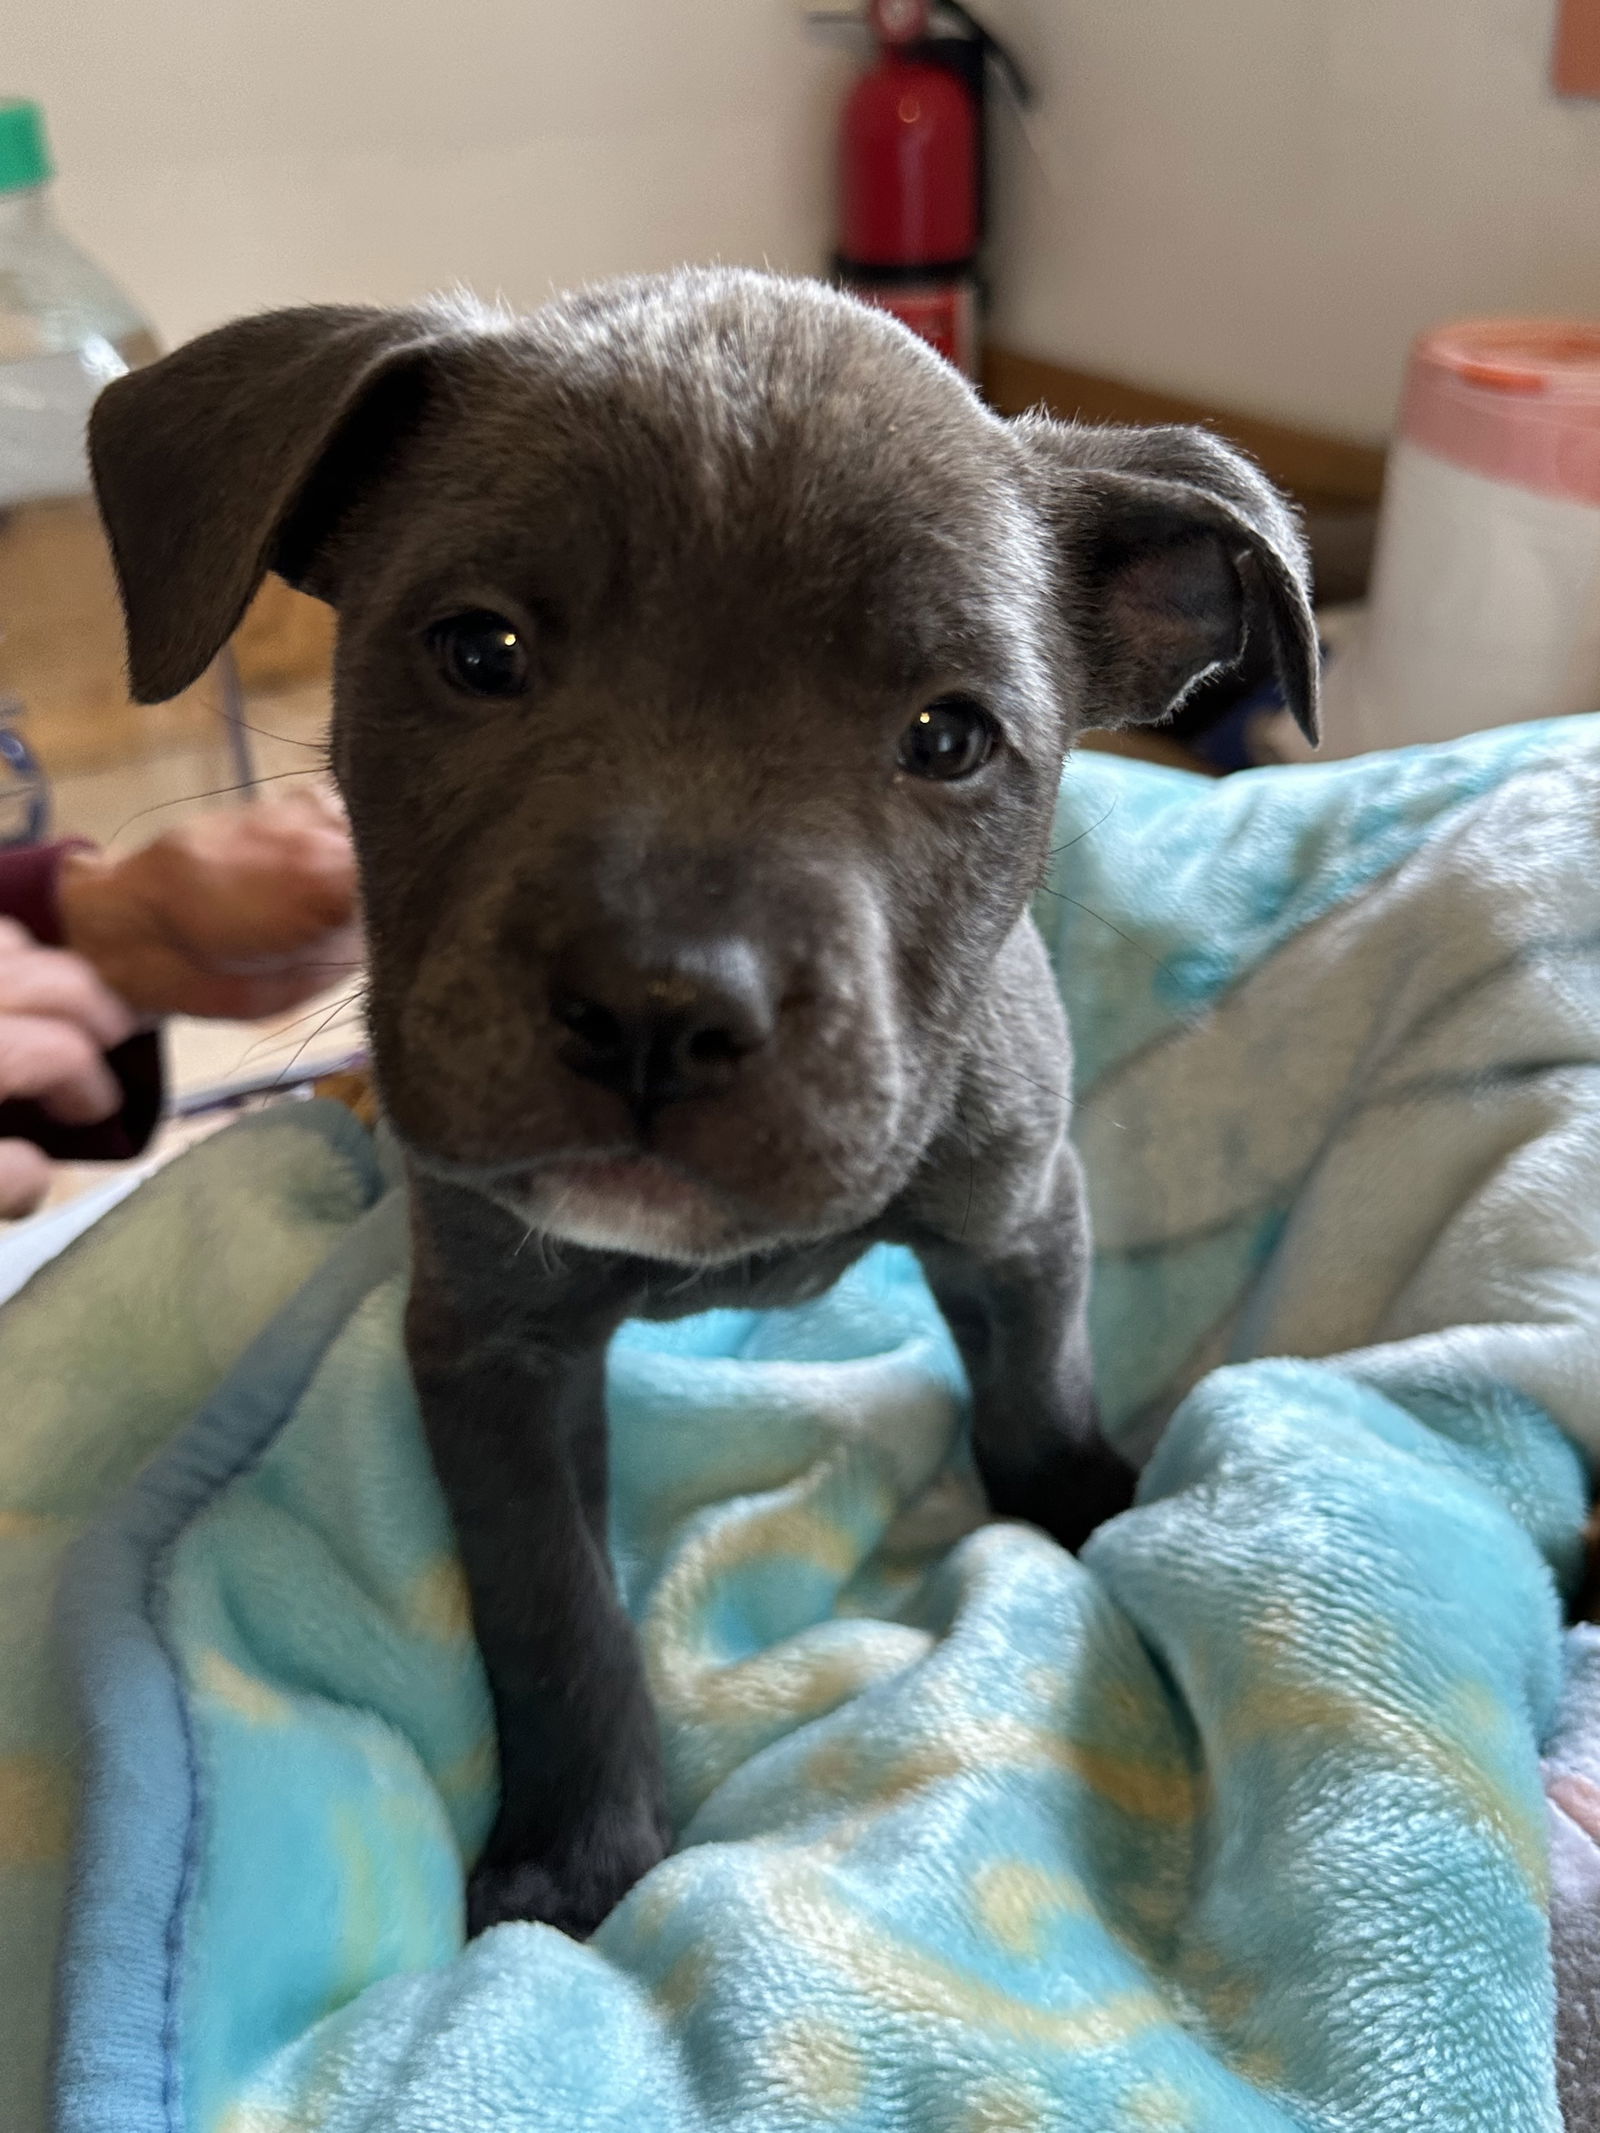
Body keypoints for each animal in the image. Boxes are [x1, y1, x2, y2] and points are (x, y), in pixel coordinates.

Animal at [90, 262, 1314, 1936]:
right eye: (479, 651)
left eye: (948, 736)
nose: (657, 1012)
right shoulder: (490, 1346)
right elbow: (554, 1603)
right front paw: (583, 1848)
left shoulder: (1020, 1207)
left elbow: (1039, 1389)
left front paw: (1090, 1512)